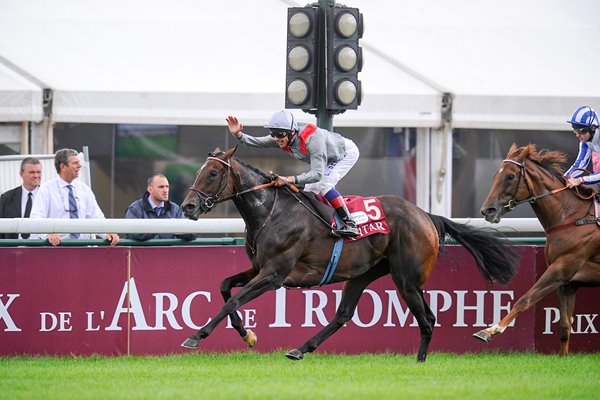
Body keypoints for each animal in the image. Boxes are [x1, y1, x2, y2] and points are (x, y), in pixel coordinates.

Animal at [180, 145, 516, 360]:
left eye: (212, 174)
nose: (187, 207)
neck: (271, 212)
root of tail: (427, 216)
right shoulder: (258, 268)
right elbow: (225, 287)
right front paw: (247, 335)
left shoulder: (274, 274)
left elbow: (233, 299)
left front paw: (196, 336)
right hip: (364, 274)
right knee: (343, 314)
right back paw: (300, 349)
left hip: (407, 279)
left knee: (428, 319)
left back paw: (420, 365)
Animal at [474, 142, 600, 354]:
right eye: (495, 175)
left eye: (510, 176)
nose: (487, 210)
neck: (571, 217)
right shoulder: (567, 283)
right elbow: (565, 327)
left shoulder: (560, 269)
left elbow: (524, 299)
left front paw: (491, 330)